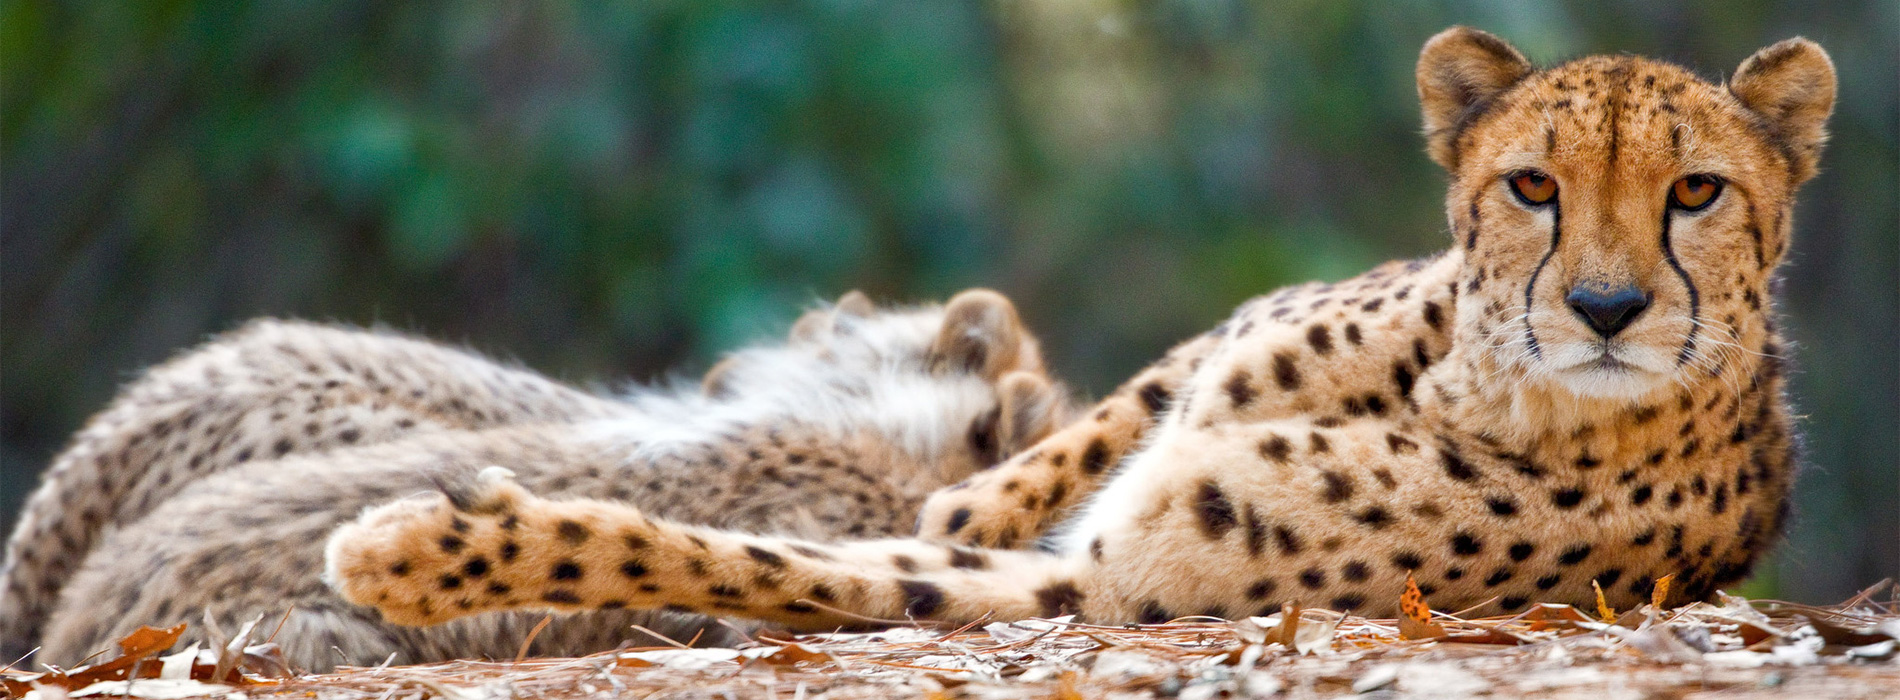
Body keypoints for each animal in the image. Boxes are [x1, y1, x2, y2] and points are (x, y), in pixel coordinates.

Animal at [330, 27, 1839, 627]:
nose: (1606, 307)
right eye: (1534, 186)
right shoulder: (1225, 359)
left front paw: (417, 552)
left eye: (1696, 192)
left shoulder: (1097, 584)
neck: (1463, 388)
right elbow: (1088, 429)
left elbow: (779, 566)